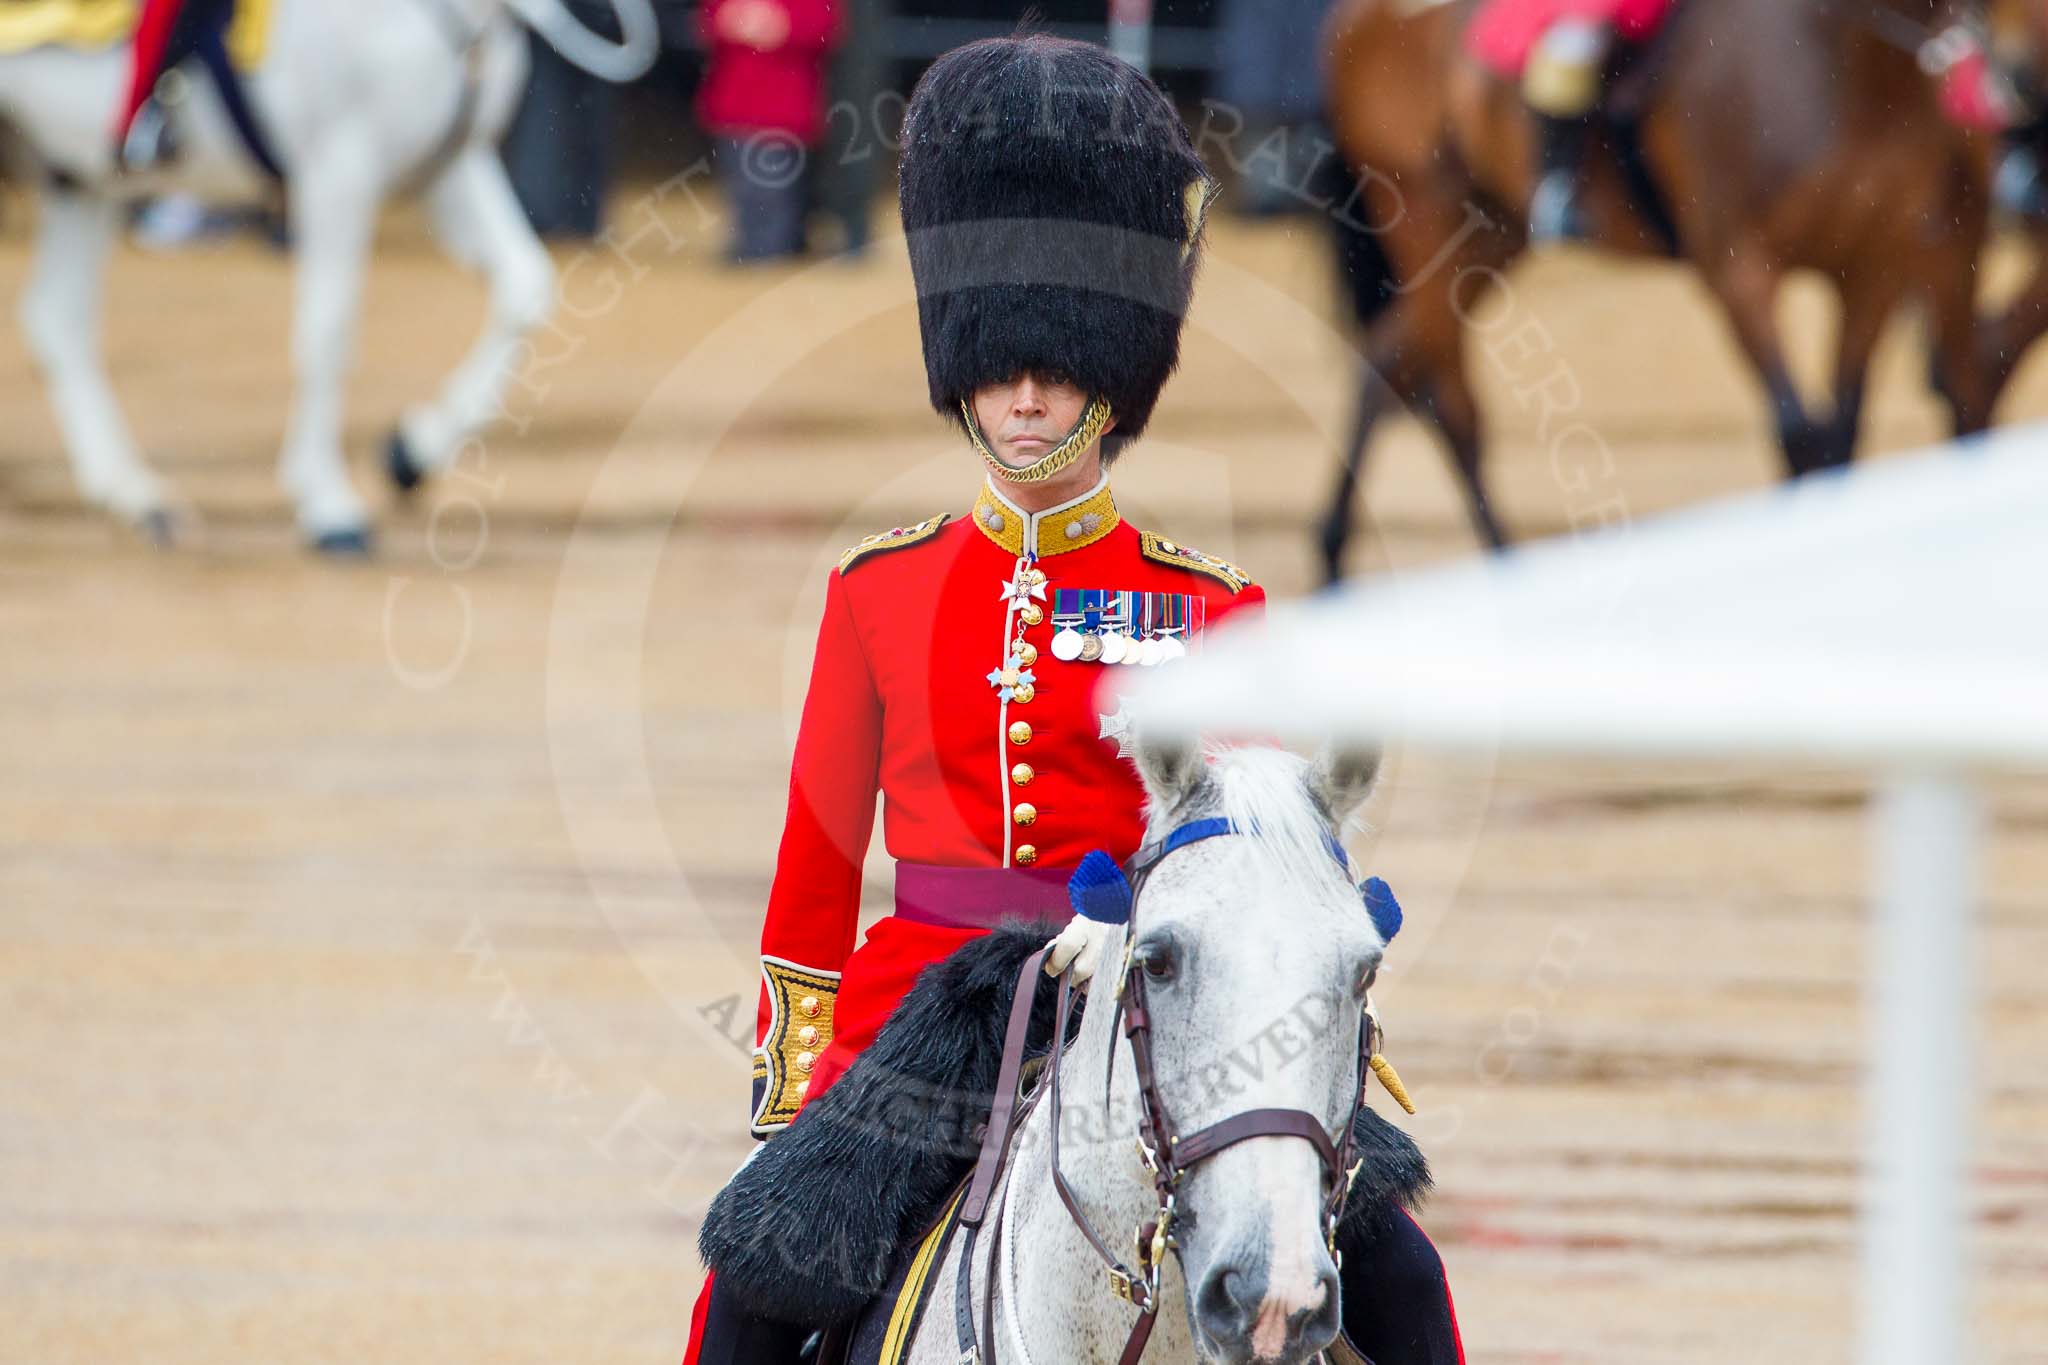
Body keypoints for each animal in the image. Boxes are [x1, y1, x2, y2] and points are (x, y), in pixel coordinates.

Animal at [1318, 0, 1990, 573]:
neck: (1844, 49)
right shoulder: (1739, 269)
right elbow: (1799, 432)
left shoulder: (1875, 268)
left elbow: (1842, 436)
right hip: (1423, 217)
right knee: (1457, 411)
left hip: (1487, 237)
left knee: (1382, 363)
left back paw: (1332, 555)